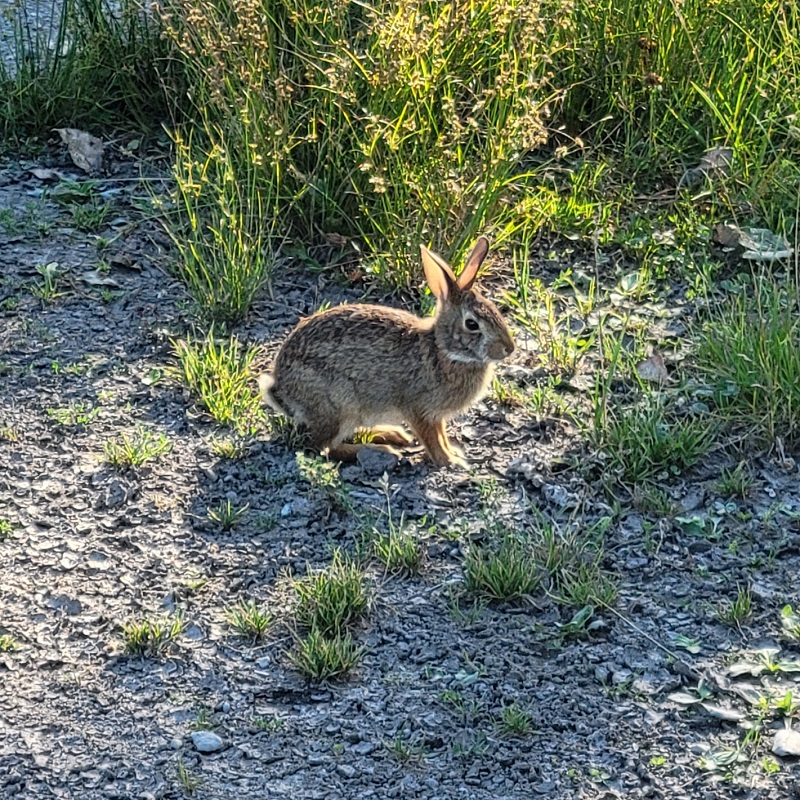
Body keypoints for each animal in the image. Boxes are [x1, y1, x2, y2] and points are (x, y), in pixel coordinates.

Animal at [258, 236, 515, 468]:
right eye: (472, 324)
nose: (508, 349)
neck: (443, 350)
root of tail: (282, 388)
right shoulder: (419, 409)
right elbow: (432, 440)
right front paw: (451, 461)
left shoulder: (436, 415)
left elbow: (441, 435)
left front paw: (454, 453)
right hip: (339, 407)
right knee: (324, 447)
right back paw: (381, 449)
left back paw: (392, 434)